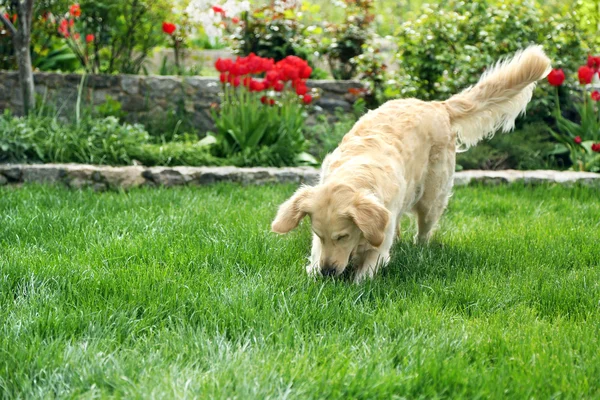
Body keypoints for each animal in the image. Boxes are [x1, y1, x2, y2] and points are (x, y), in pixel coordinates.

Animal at [270, 45, 552, 282]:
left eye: (343, 236)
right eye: (319, 235)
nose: (328, 272)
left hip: (432, 198)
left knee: (424, 231)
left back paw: (421, 250)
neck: (356, 171)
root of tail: (438, 105)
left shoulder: (378, 247)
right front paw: (314, 278)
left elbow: (364, 273)